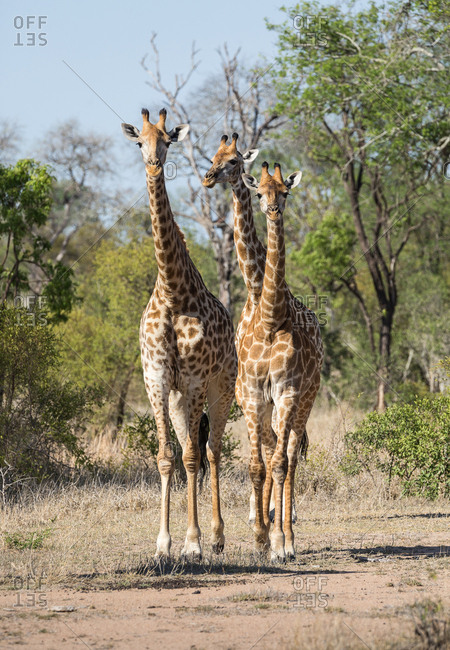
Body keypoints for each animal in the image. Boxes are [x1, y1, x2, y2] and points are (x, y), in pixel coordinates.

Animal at [121, 109, 237, 560]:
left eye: (168, 140)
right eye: (140, 142)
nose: (154, 164)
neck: (172, 291)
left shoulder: (194, 379)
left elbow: (191, 457)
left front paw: (192, 543)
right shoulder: (156, 380)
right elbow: (167, 457)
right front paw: (162, 544)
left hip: (223, 388)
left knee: (213, 450)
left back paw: (218, 537)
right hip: (176, 399)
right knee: (196, 449)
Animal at [202, 134, 316, 529]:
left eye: (234, 160)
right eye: (214, 156)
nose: (209, 177)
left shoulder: (284, 393)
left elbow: (279, 454)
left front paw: (277, 517)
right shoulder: (249, 394)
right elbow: (263, 454)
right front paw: (260, 514)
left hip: (304, 398)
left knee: (290, 450)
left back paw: (285, 513)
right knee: (272, 446)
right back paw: (264, 512)